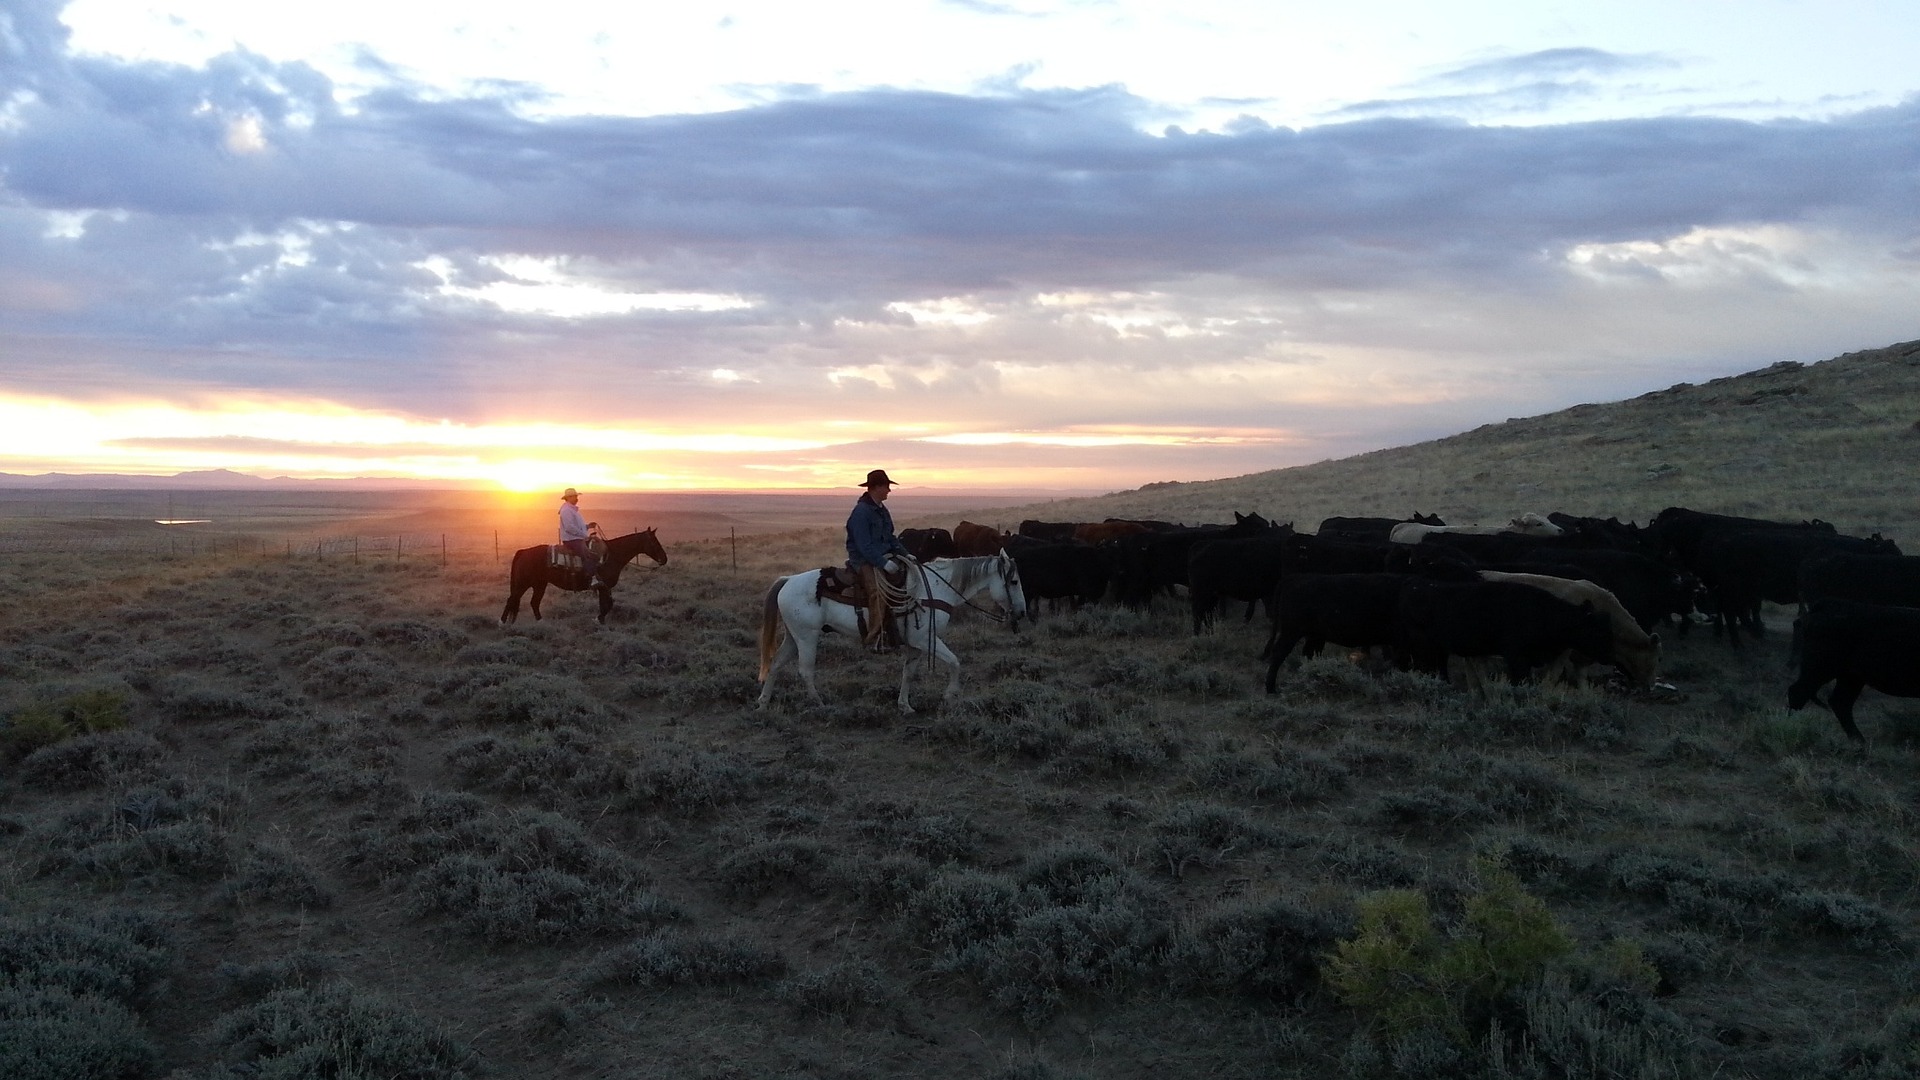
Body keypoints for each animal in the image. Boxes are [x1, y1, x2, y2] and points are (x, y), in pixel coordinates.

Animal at [503, 526, 668, 622]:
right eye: (654, 542)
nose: (664, 559)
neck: (612, 555)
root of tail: (523, 551)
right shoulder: (604, 586)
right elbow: (607, 605)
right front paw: (598, 619)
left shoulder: (605, 587)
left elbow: (607, 604)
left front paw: (601, 620)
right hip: (523, 583)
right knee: (512, 599)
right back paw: (502, 622)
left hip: (539, 584)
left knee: (534, 602)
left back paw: (540, 622)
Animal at [752, 549, 1029, 711]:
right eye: (1014, 581)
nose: (1022, 612)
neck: (935, 589)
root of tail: (788, 580)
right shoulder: (927, 639)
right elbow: (955, 662)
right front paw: (950, 696)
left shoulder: (917, 643)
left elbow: (909, 673)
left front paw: (905, 705)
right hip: (807, 636)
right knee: (805, 671)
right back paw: (819, 703)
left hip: (794, 636)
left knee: (775, 664)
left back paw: (764, 702)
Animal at [1781, 595, 1920, 737]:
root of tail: (1826, 605)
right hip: (1820, 670)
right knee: (1798, 693)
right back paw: (1791, 727)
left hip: (1850, 677)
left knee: (1840, 702)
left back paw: (1859, 740)